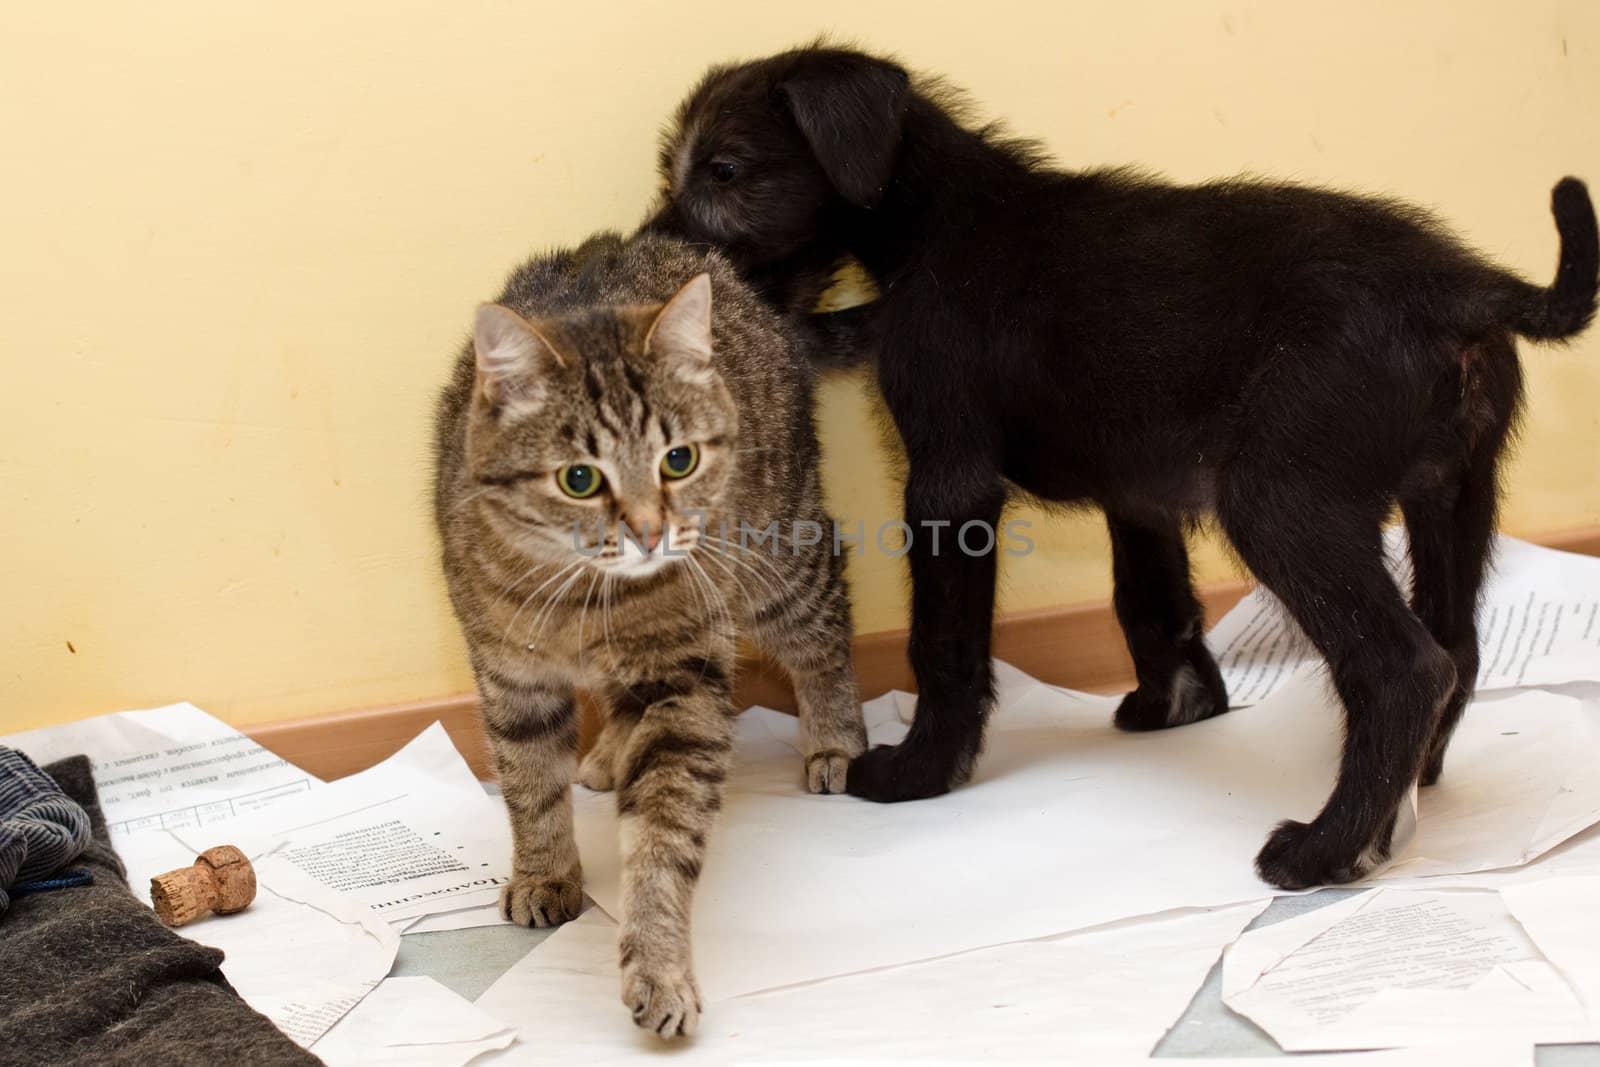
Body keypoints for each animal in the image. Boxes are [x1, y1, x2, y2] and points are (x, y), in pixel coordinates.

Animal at [435, 231, 864, 1036]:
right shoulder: (510, 677)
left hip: (778, 559)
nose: (648, 531)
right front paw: (545, 873)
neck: (583, 602)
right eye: (579, 478)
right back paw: (606, 753)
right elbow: (528, 787)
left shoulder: (682, 683)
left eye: (679, 459)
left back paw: (836, 739)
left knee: (825, 628)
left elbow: (662, 840)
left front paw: (660, 966)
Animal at [643, 45, 1593, 889]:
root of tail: (1460, 285)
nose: (648, 260)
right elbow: (1151, 599)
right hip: (1455, 495)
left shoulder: (949, 483)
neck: (941, 223)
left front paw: (920, 769)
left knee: (1403, 668)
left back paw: (1324, 848)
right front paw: (1179, 702)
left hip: (1282, 503)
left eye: (724, 170)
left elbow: (943, 643)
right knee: (1457, 646)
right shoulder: (1139, 490)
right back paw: (1402, 797)